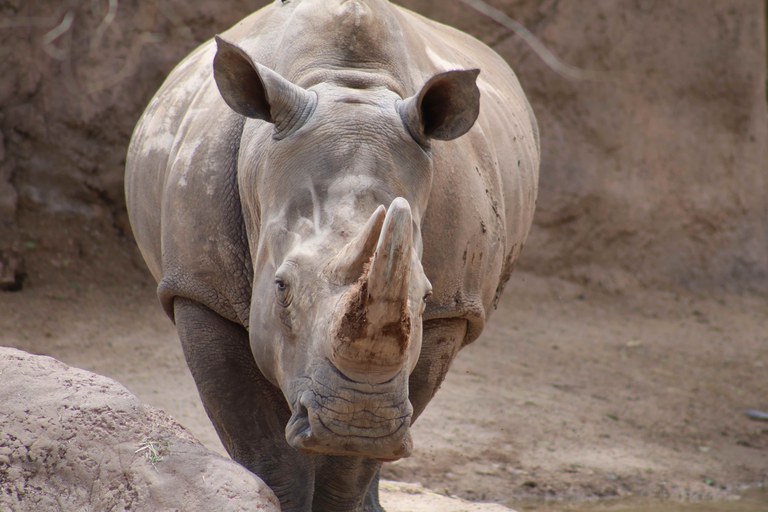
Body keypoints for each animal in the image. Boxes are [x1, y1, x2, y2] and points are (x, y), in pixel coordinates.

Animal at [123, 0, 536, 510]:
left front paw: (351, 453)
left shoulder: (450, 310)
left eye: (423, 296)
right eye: (280, 288)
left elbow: (351, 466)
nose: (356, 419)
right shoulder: (199, 289)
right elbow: (266, 450)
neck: (347, 84)